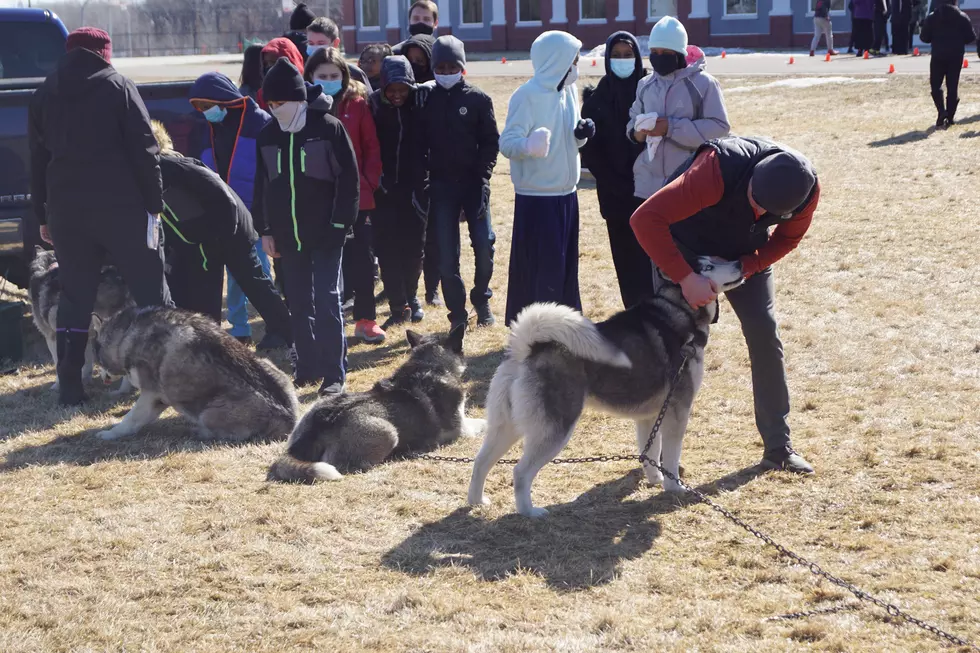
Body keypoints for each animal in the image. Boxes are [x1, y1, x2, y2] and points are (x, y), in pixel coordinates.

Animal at [28, 247, 133, 392]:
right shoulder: (86, 335)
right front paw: (85, 379)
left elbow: (58, 363)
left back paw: (123, 390)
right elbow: (86, 362)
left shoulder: (52, 337)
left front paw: (58, 385)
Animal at [93, 306, 298, 440]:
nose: (102, 378)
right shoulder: (160, 398)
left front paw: (110, 434)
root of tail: (289, 418)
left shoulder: (150, 394)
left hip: (208, 414)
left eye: (97, 354)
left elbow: (131, 418)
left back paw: (199, 431)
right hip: (269, 365)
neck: (127, 332)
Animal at [468, 258, 744, 516]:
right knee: (520, 471)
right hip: (555, 430)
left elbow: (651, 452)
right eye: (707, 266)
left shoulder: (650, 416)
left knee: (480, 461)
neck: (677, 311)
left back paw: (476, 501)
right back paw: (530, 512)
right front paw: (673, 487)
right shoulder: (677, 411)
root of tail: (528, 348)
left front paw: (654, 479)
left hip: (507, 426)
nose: (740, 262)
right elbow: (671, 457)